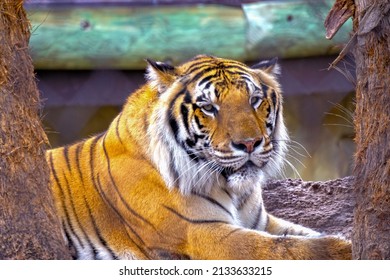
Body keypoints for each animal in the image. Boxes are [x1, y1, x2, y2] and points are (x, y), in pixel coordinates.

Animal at [47, 54, 352, 260]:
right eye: (208, 107)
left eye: (254, 100)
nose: (249, 143)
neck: (234, 191)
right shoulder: (200, 232)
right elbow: (280, 248)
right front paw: (342, 249)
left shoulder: (262, 222)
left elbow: (300, 235)